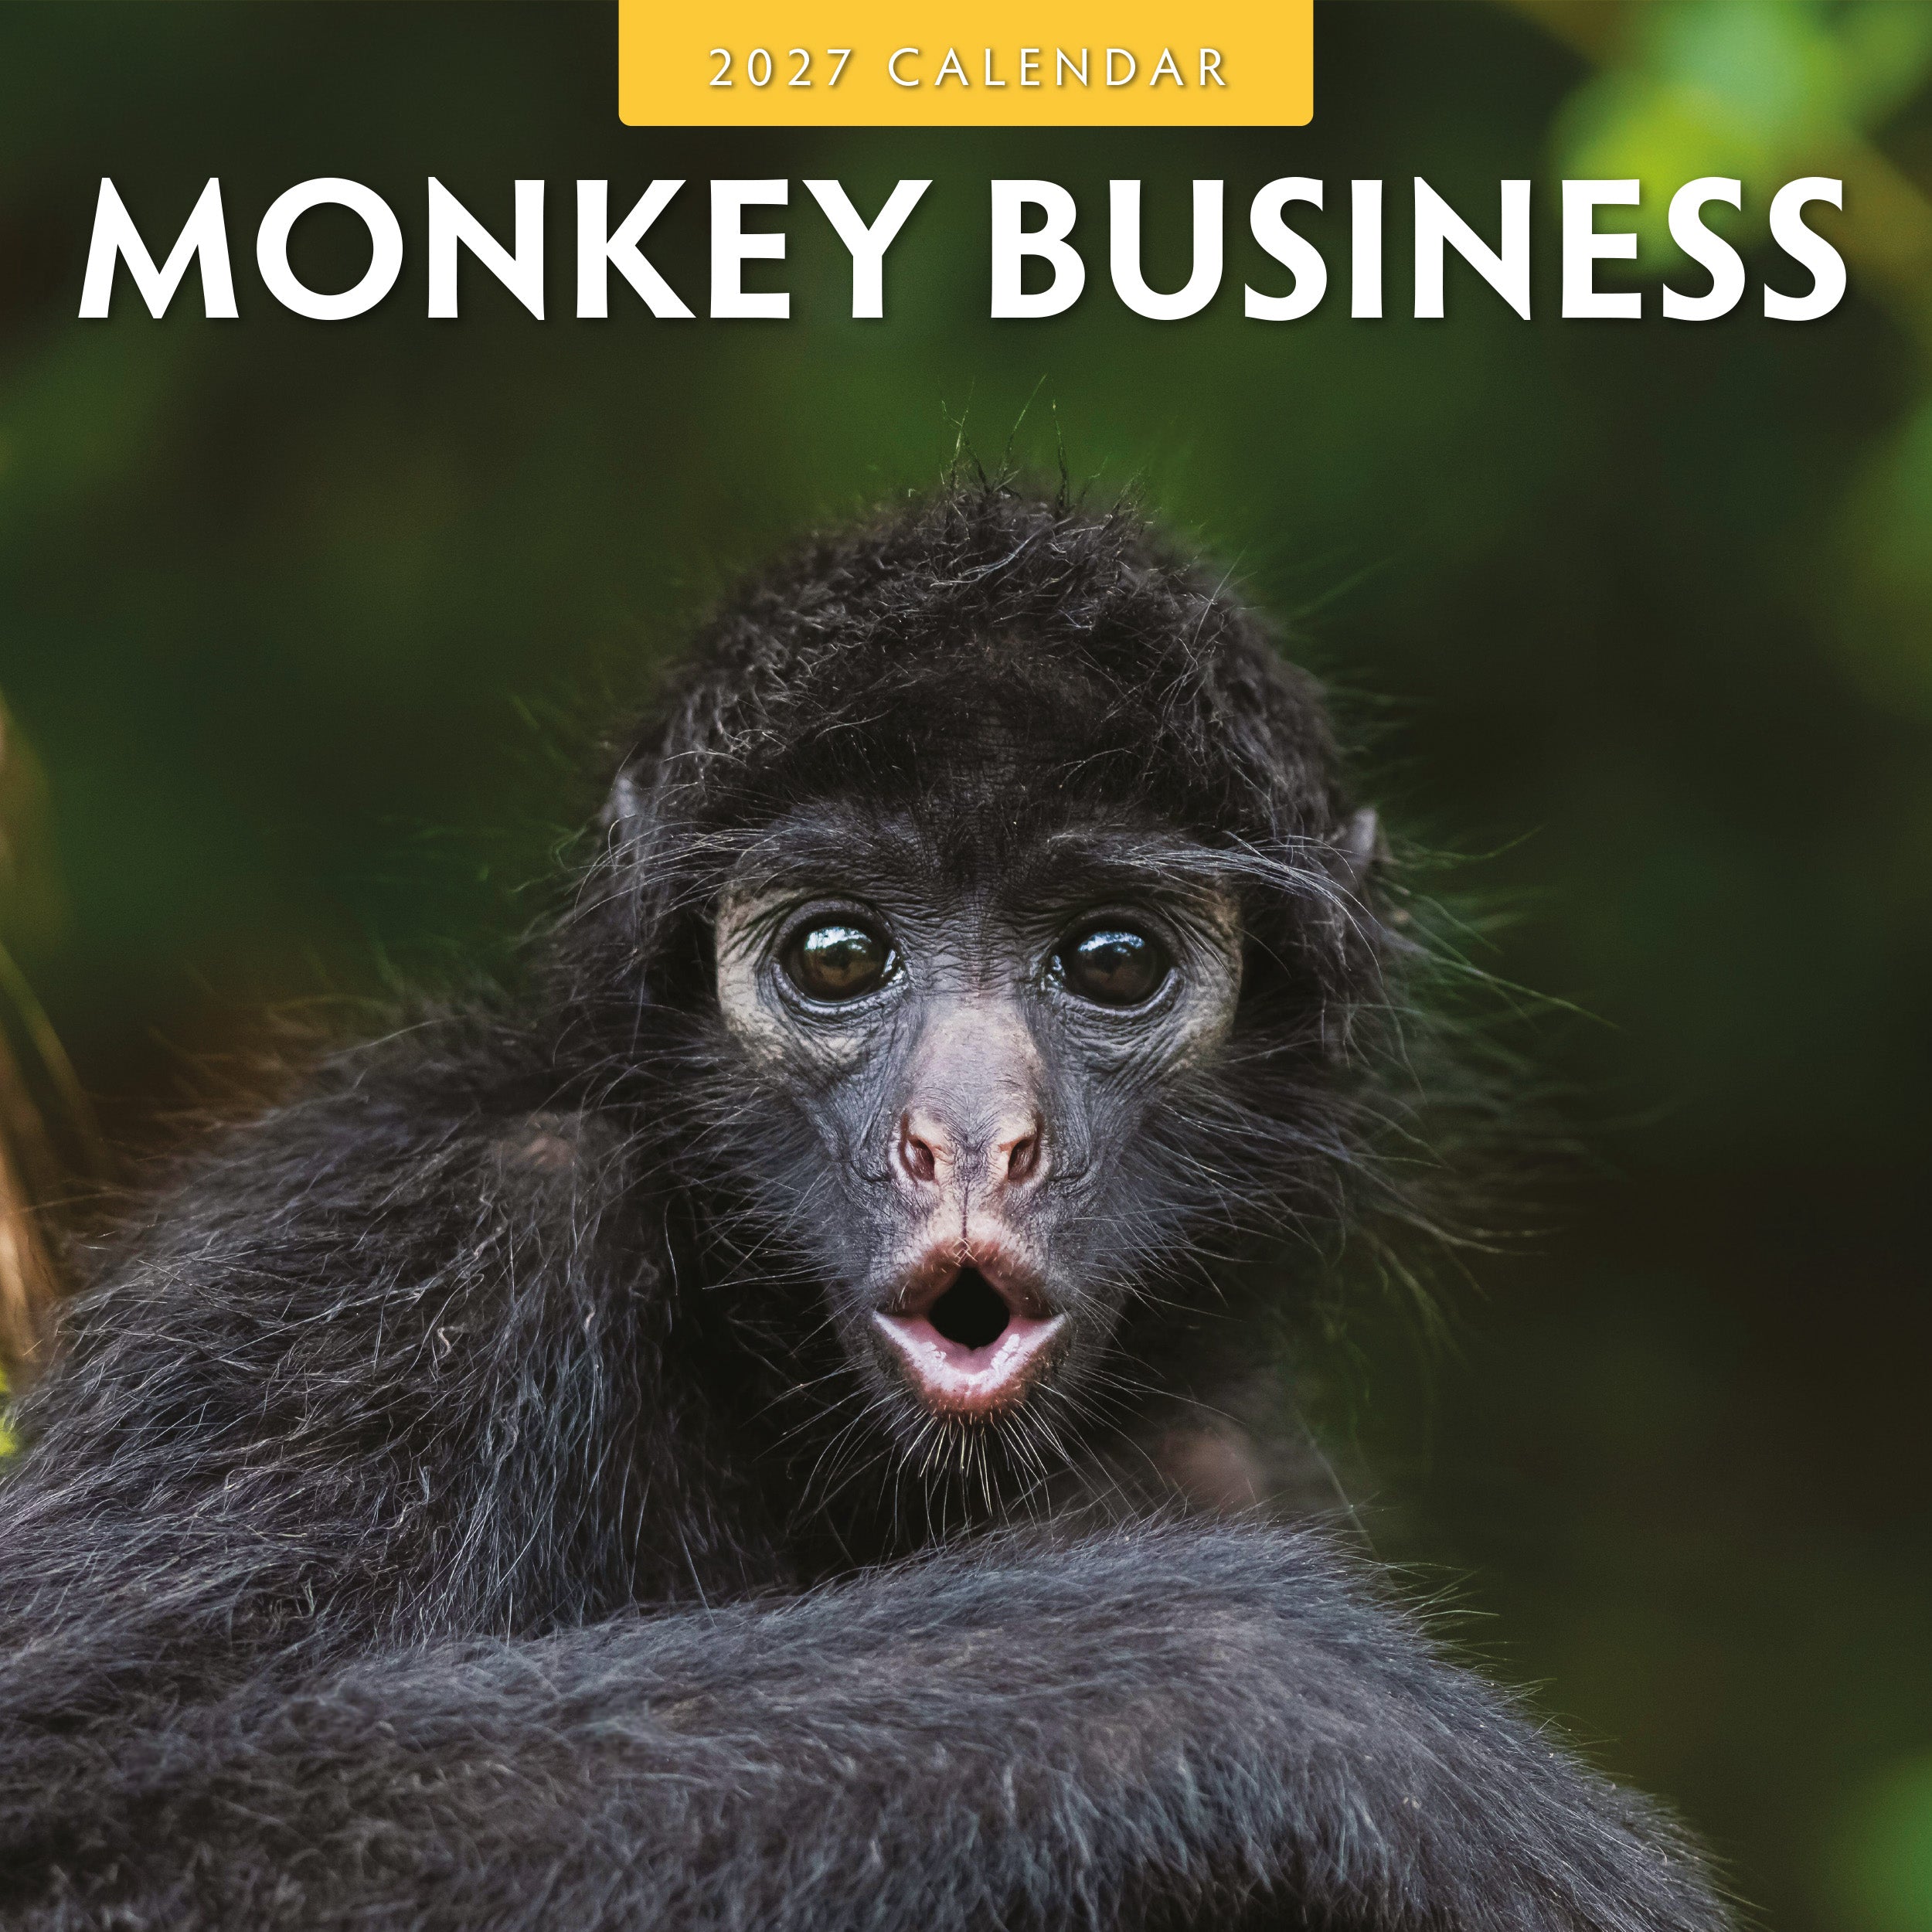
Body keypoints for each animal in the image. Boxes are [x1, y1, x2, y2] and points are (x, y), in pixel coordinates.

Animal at [0, 484, 1727, 1932]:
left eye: (1112, 962)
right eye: (837, 955)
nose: (967, 1135)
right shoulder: (426, 1227)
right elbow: (85, 1816)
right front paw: (1304, 1700)